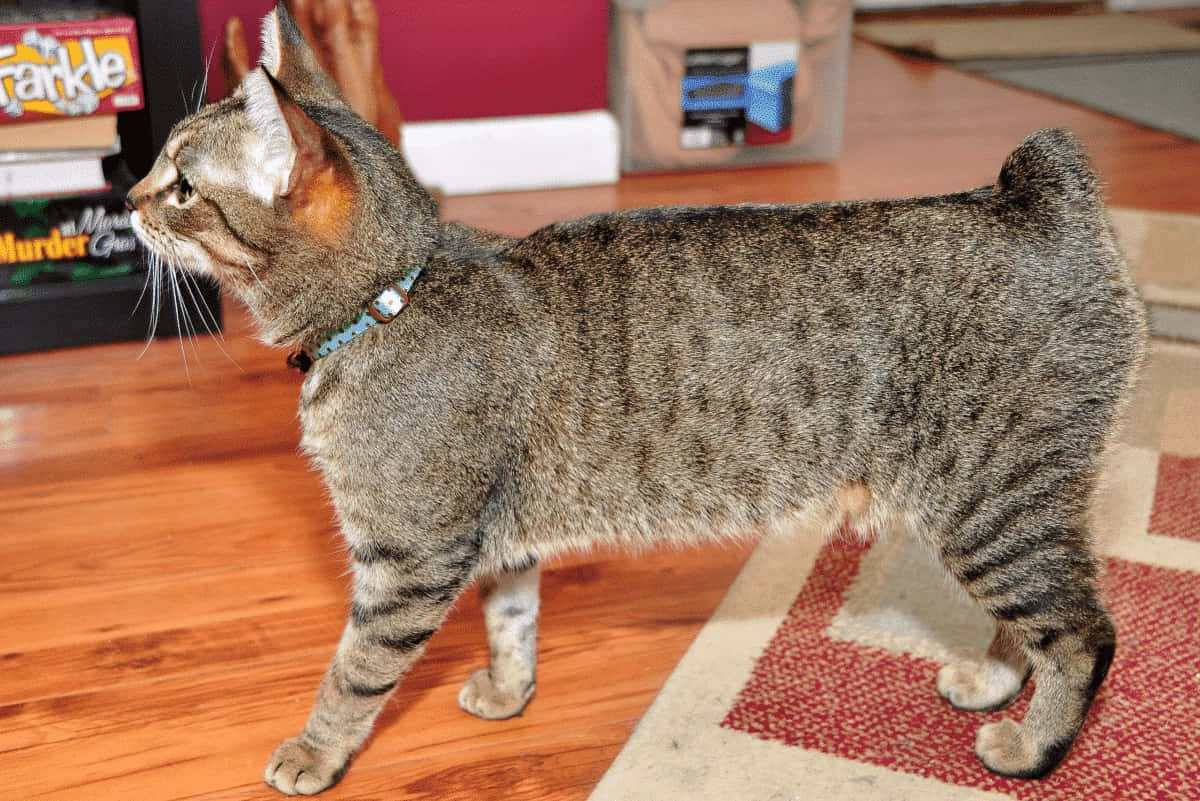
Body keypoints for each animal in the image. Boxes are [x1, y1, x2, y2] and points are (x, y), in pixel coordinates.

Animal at [126, 4, 1147, 796]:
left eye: (183, 186)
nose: (129, 198)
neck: (393, 297)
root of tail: (1035, 197)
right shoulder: (499, 541)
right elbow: (511, 621)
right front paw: (508, 692)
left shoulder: (408, 558)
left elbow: (353, 674)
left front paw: (312, 752)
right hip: (998, 508)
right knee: (1037, 620)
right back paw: (991, 679)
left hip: (994, 500)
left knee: (1084, 632)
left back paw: (1032, 744)